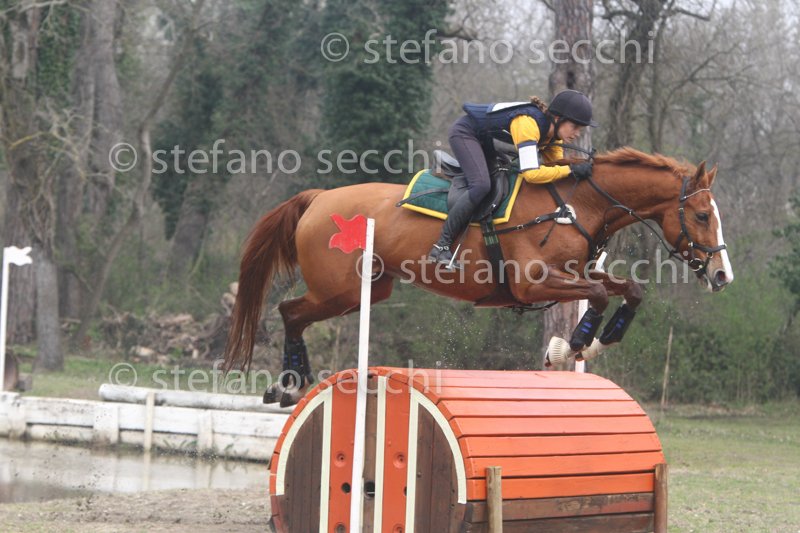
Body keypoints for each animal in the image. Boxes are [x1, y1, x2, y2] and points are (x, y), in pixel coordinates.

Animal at [223, 147, 734, 406]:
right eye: (703, 215)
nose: (722, 275)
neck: (577, 204)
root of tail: (318, 198)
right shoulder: (533, 280)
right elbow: (597, 295)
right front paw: (570, 344)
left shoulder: (576, 272)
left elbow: (629, 289)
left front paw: (596, 342)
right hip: (340, 290)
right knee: (290, 311)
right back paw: (288, 385)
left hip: (368, 289)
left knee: (294, 313)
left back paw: (293, 383)